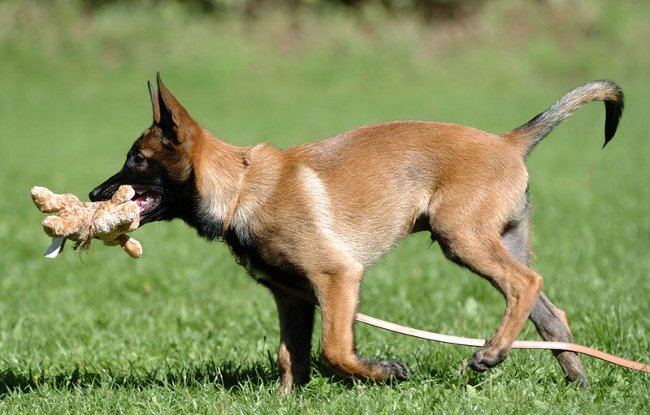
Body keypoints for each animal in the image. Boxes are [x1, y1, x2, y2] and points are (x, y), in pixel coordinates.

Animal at [90, 75, 624, 394]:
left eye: (137, 161)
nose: (95, 193)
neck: (240, 189)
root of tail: (507, 140)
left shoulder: (338, 278)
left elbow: (333, 351)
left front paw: (384, 372)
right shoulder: (292, 296)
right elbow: (290, 356)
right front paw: (286, 399)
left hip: (461, 238)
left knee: (524, 285)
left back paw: (490, 353)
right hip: (502, 239)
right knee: (552, 314)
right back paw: (578, 383)